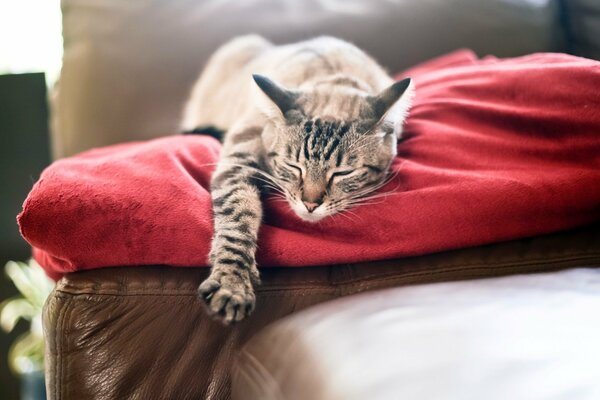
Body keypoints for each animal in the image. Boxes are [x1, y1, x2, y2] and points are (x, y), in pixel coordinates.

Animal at [183, 35, 414, 324]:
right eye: (294, 166)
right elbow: (238, 217)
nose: (310, 204)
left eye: (343, 173)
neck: (330, 75)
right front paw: (231, 283)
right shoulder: (238, 159)